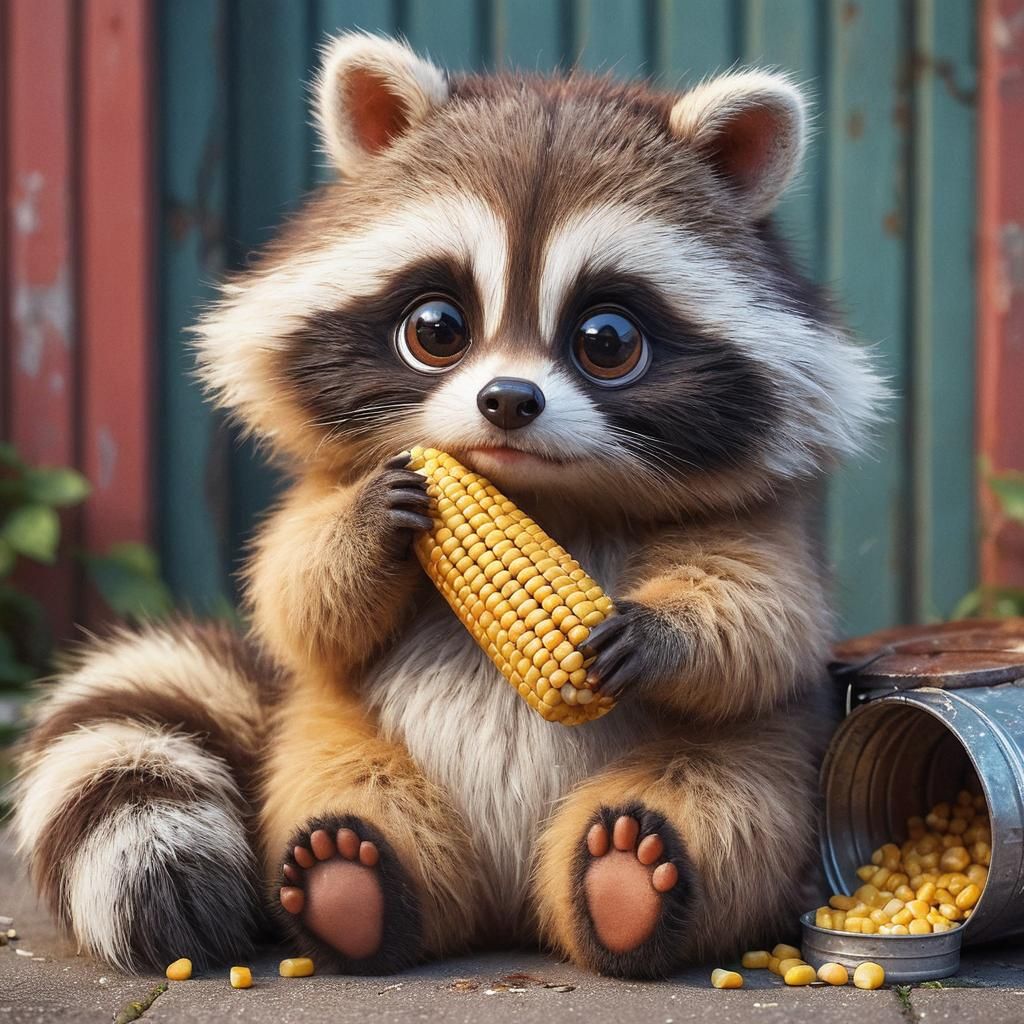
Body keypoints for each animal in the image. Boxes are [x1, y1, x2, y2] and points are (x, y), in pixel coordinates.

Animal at [13, 34, 883, 978]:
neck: (542, 495)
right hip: (323, 733)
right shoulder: (325, 492)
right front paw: (367, 527)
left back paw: (629, 883)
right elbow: (296, 595)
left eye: (607, 343)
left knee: (721, 803)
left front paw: (663, 630)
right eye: (436, 329)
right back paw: (355, 882)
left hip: (759, 768)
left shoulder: (755, 521)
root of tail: (508, 915)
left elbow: (761, 613)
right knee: (346, 789)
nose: (507, 400)